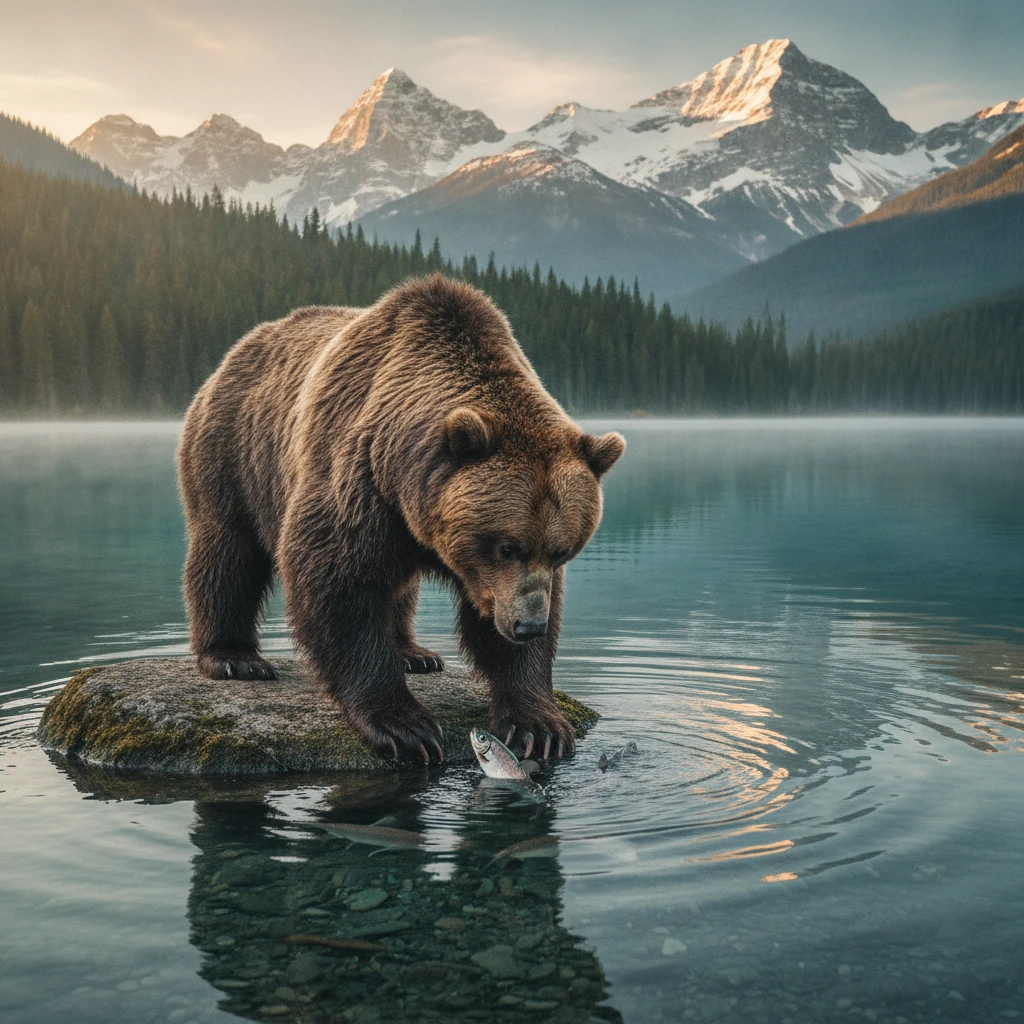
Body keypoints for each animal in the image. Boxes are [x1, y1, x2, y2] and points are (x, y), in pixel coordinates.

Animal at [177, 274, 624, 763]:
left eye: (562, 550)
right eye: (507, 546)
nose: (527, 626)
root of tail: (237, 350)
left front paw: (537, 725)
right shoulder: (357, 478)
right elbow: (337, 580)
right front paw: (404, 726)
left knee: (399, 586)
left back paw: (415, 653)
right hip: (235, 452)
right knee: (228, 552)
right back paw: (234, 657)